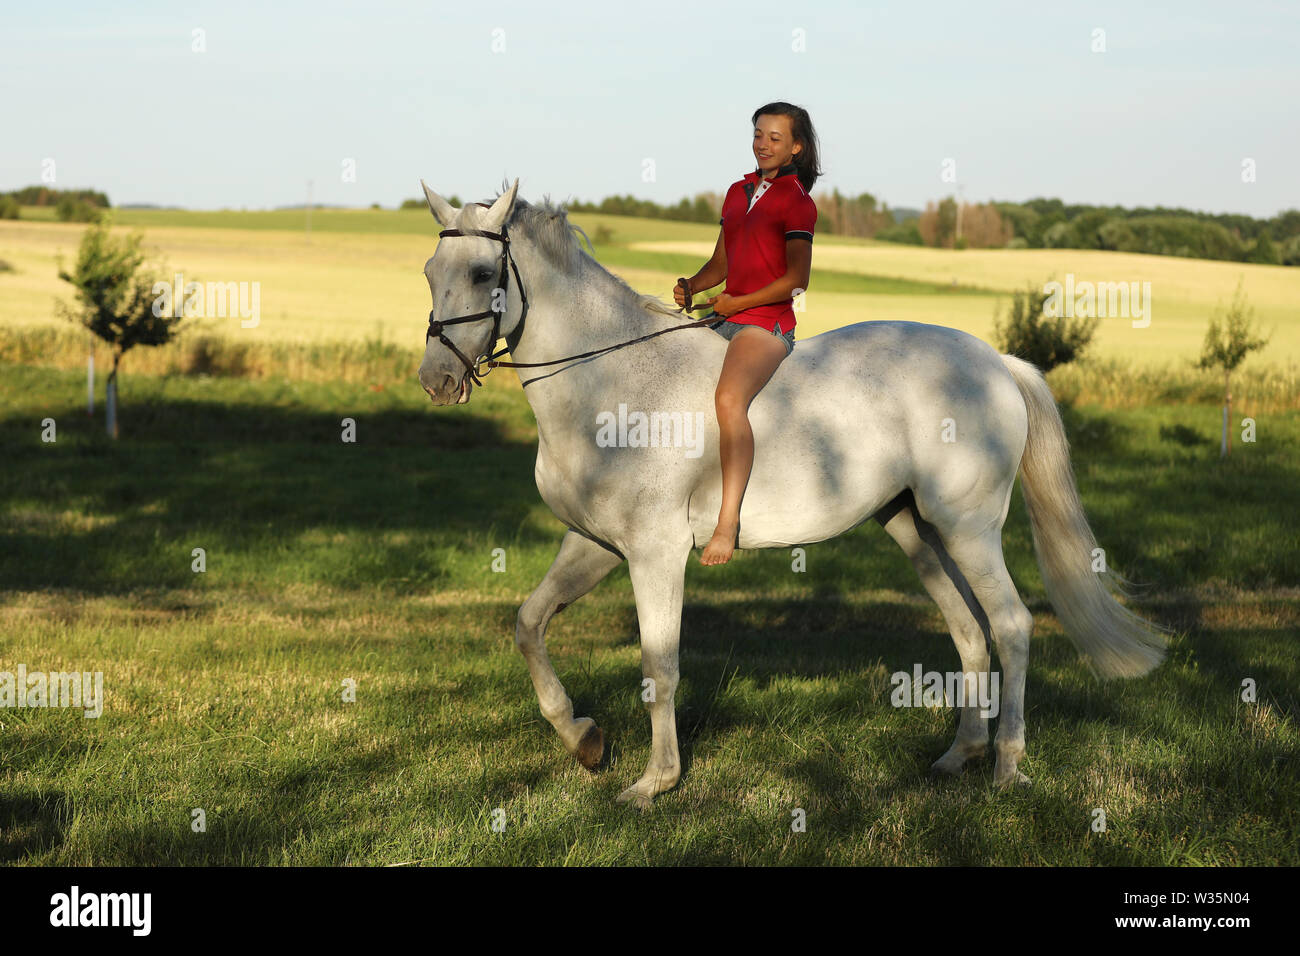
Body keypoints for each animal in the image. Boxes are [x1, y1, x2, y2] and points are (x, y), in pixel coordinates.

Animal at [416, 178, 1170, 806]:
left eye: (481, 274)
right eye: (431, 272)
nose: (436, 380)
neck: (612, 382)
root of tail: (997, 363)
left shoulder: (656, 554)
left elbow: (660, 664)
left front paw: (654, 783)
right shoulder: (595, 544)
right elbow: (529, 624)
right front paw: (585, 741)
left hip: (968, 528)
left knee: (1011, 626)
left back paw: (1009, 767)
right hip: (917, 531)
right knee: (968, 630)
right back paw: (960, 755)